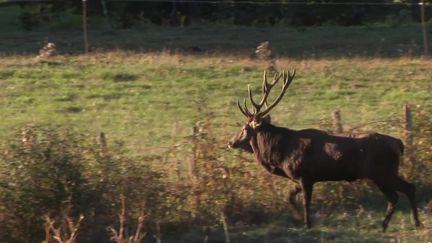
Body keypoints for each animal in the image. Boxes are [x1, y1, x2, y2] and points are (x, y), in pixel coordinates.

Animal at [230, 70, 422, 232]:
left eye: (245, 128)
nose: (230, 142)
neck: (282, 155)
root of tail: (398, 143)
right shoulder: (303, 178)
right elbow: (289, 196)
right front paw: (299, 217)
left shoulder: (305, 175)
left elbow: (306, 202)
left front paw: (307, 224)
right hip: (381, 174)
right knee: (396, 195)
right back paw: (386, 225)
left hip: (382, 171)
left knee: (406, 190)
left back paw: (414, 222)